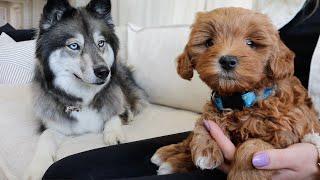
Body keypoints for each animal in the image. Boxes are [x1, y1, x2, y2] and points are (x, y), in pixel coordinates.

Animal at [150, 7, 320, 180]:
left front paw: (244, 174)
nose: (227, 61)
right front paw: (206, 149)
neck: (239, 99)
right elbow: (204, 121)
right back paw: (169, 153)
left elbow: (254, 146)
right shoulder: (216, 103)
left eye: (250, 43)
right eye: (209, 42)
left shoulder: (286, 134)